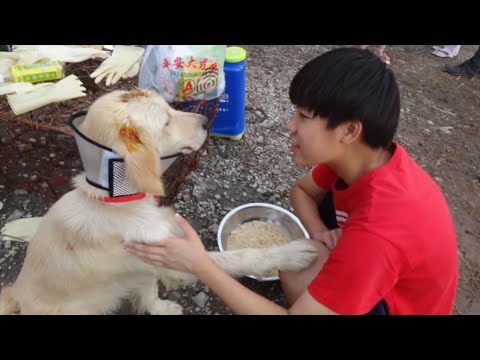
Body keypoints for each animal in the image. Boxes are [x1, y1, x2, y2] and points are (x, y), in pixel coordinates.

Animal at [0, 88, 316, 314]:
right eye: (165, 123)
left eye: (170, 109)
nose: (206, 121)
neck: (121, 202)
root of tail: (16, 294)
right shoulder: (170, 259)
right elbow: (232, 259)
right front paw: (287, 255)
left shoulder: (152, 260)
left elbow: (149, 288)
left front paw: (160, 308)